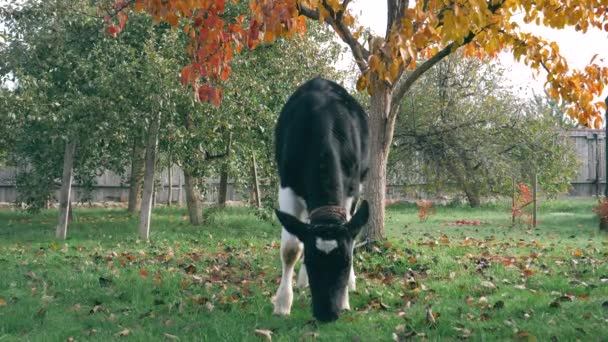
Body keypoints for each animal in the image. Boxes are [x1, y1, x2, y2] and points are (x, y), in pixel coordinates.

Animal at [272, 77, 368, 320]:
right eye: (311, 260)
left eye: (345, 262)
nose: (327, 314)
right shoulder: (287, 186)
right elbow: (291, 249)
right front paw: (282, 302)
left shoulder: (351, 190)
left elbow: (350, 236)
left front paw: (345, 298)